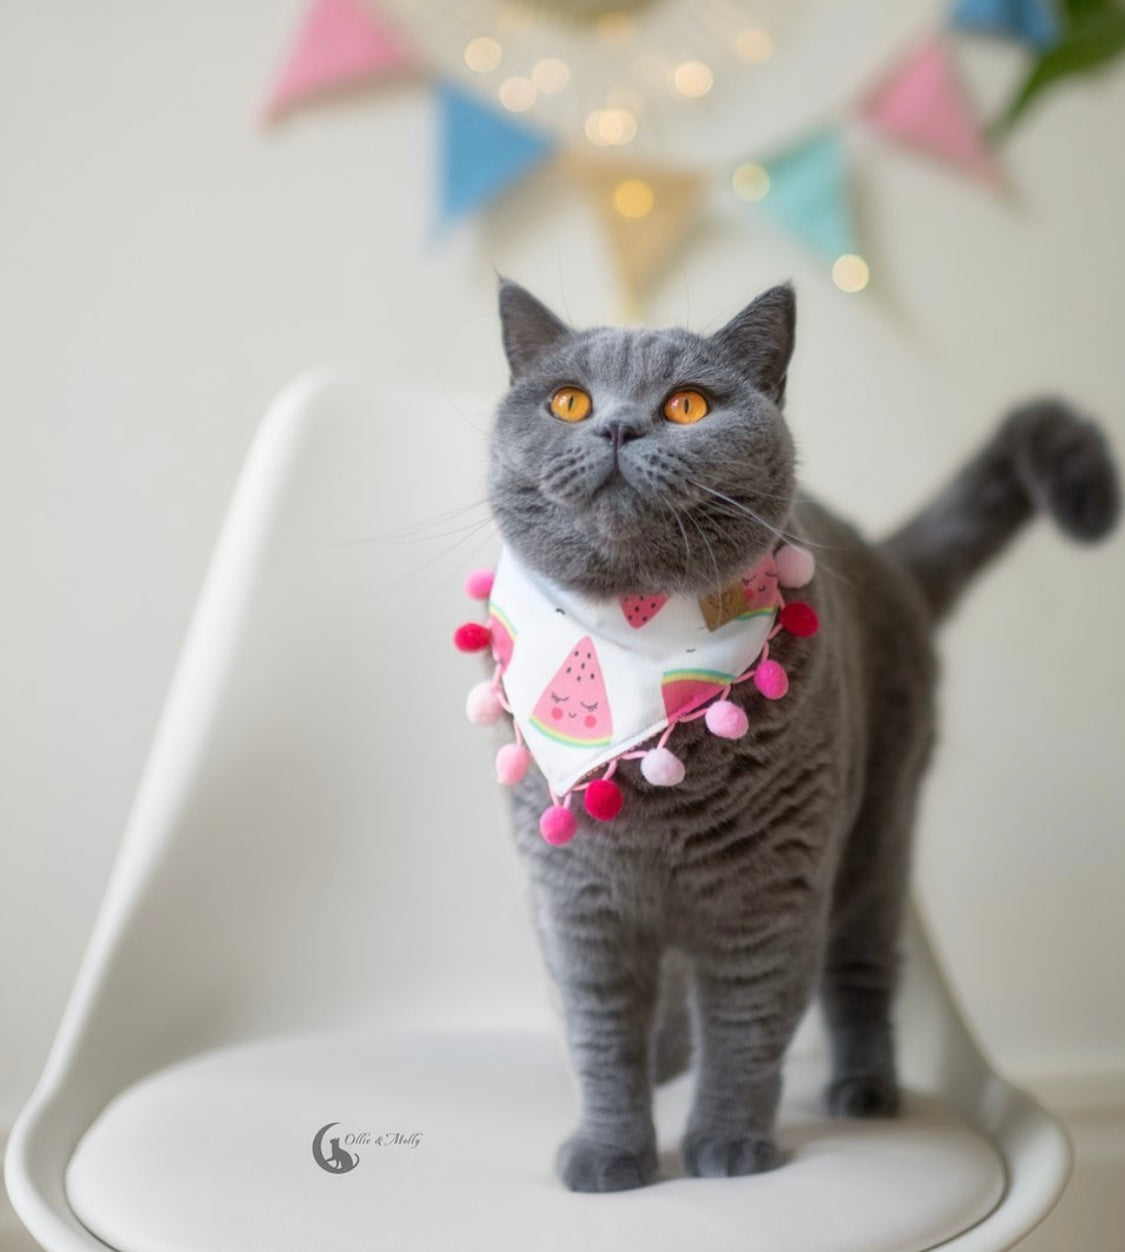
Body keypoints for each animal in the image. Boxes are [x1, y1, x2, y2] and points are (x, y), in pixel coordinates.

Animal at [483, 281, 1116, 1191]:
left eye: (685, 405)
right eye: (568, 402)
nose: (618, 427)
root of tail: (882, 555)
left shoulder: (768, 895)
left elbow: (746, 1029)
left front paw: (728, 1146)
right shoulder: (577, 901)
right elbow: (599, 1036)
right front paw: (610, 1153)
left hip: (875, 834)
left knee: (861, 973)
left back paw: (863, 1089)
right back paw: (667, 1059)